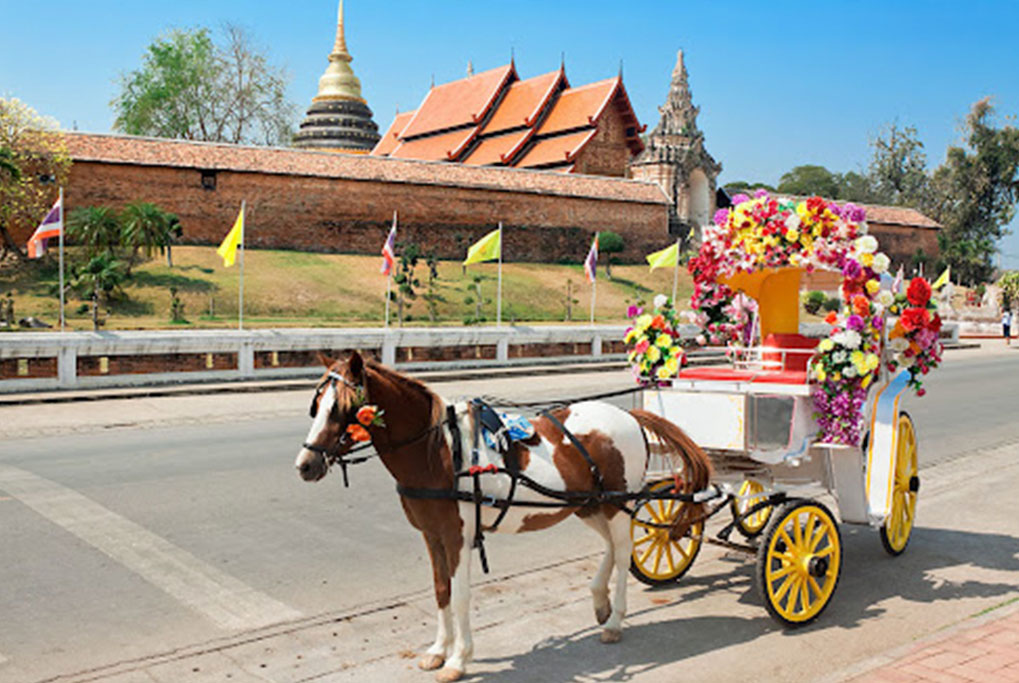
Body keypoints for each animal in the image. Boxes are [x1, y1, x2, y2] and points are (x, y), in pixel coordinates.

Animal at [293, 352, 709, 683]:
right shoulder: (431, 535)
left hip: (617, 505)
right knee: (609, 546)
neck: (440, 451)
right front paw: (438, 650)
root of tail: (627, 414)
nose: (306, 464)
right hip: (591, 505)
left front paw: (458, 659)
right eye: (317, 405)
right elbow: (441, 590)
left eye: (342, 408)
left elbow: (460, 595)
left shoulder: (457, 536)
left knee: (623, 553)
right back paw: (599, 601)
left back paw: (615, 620)